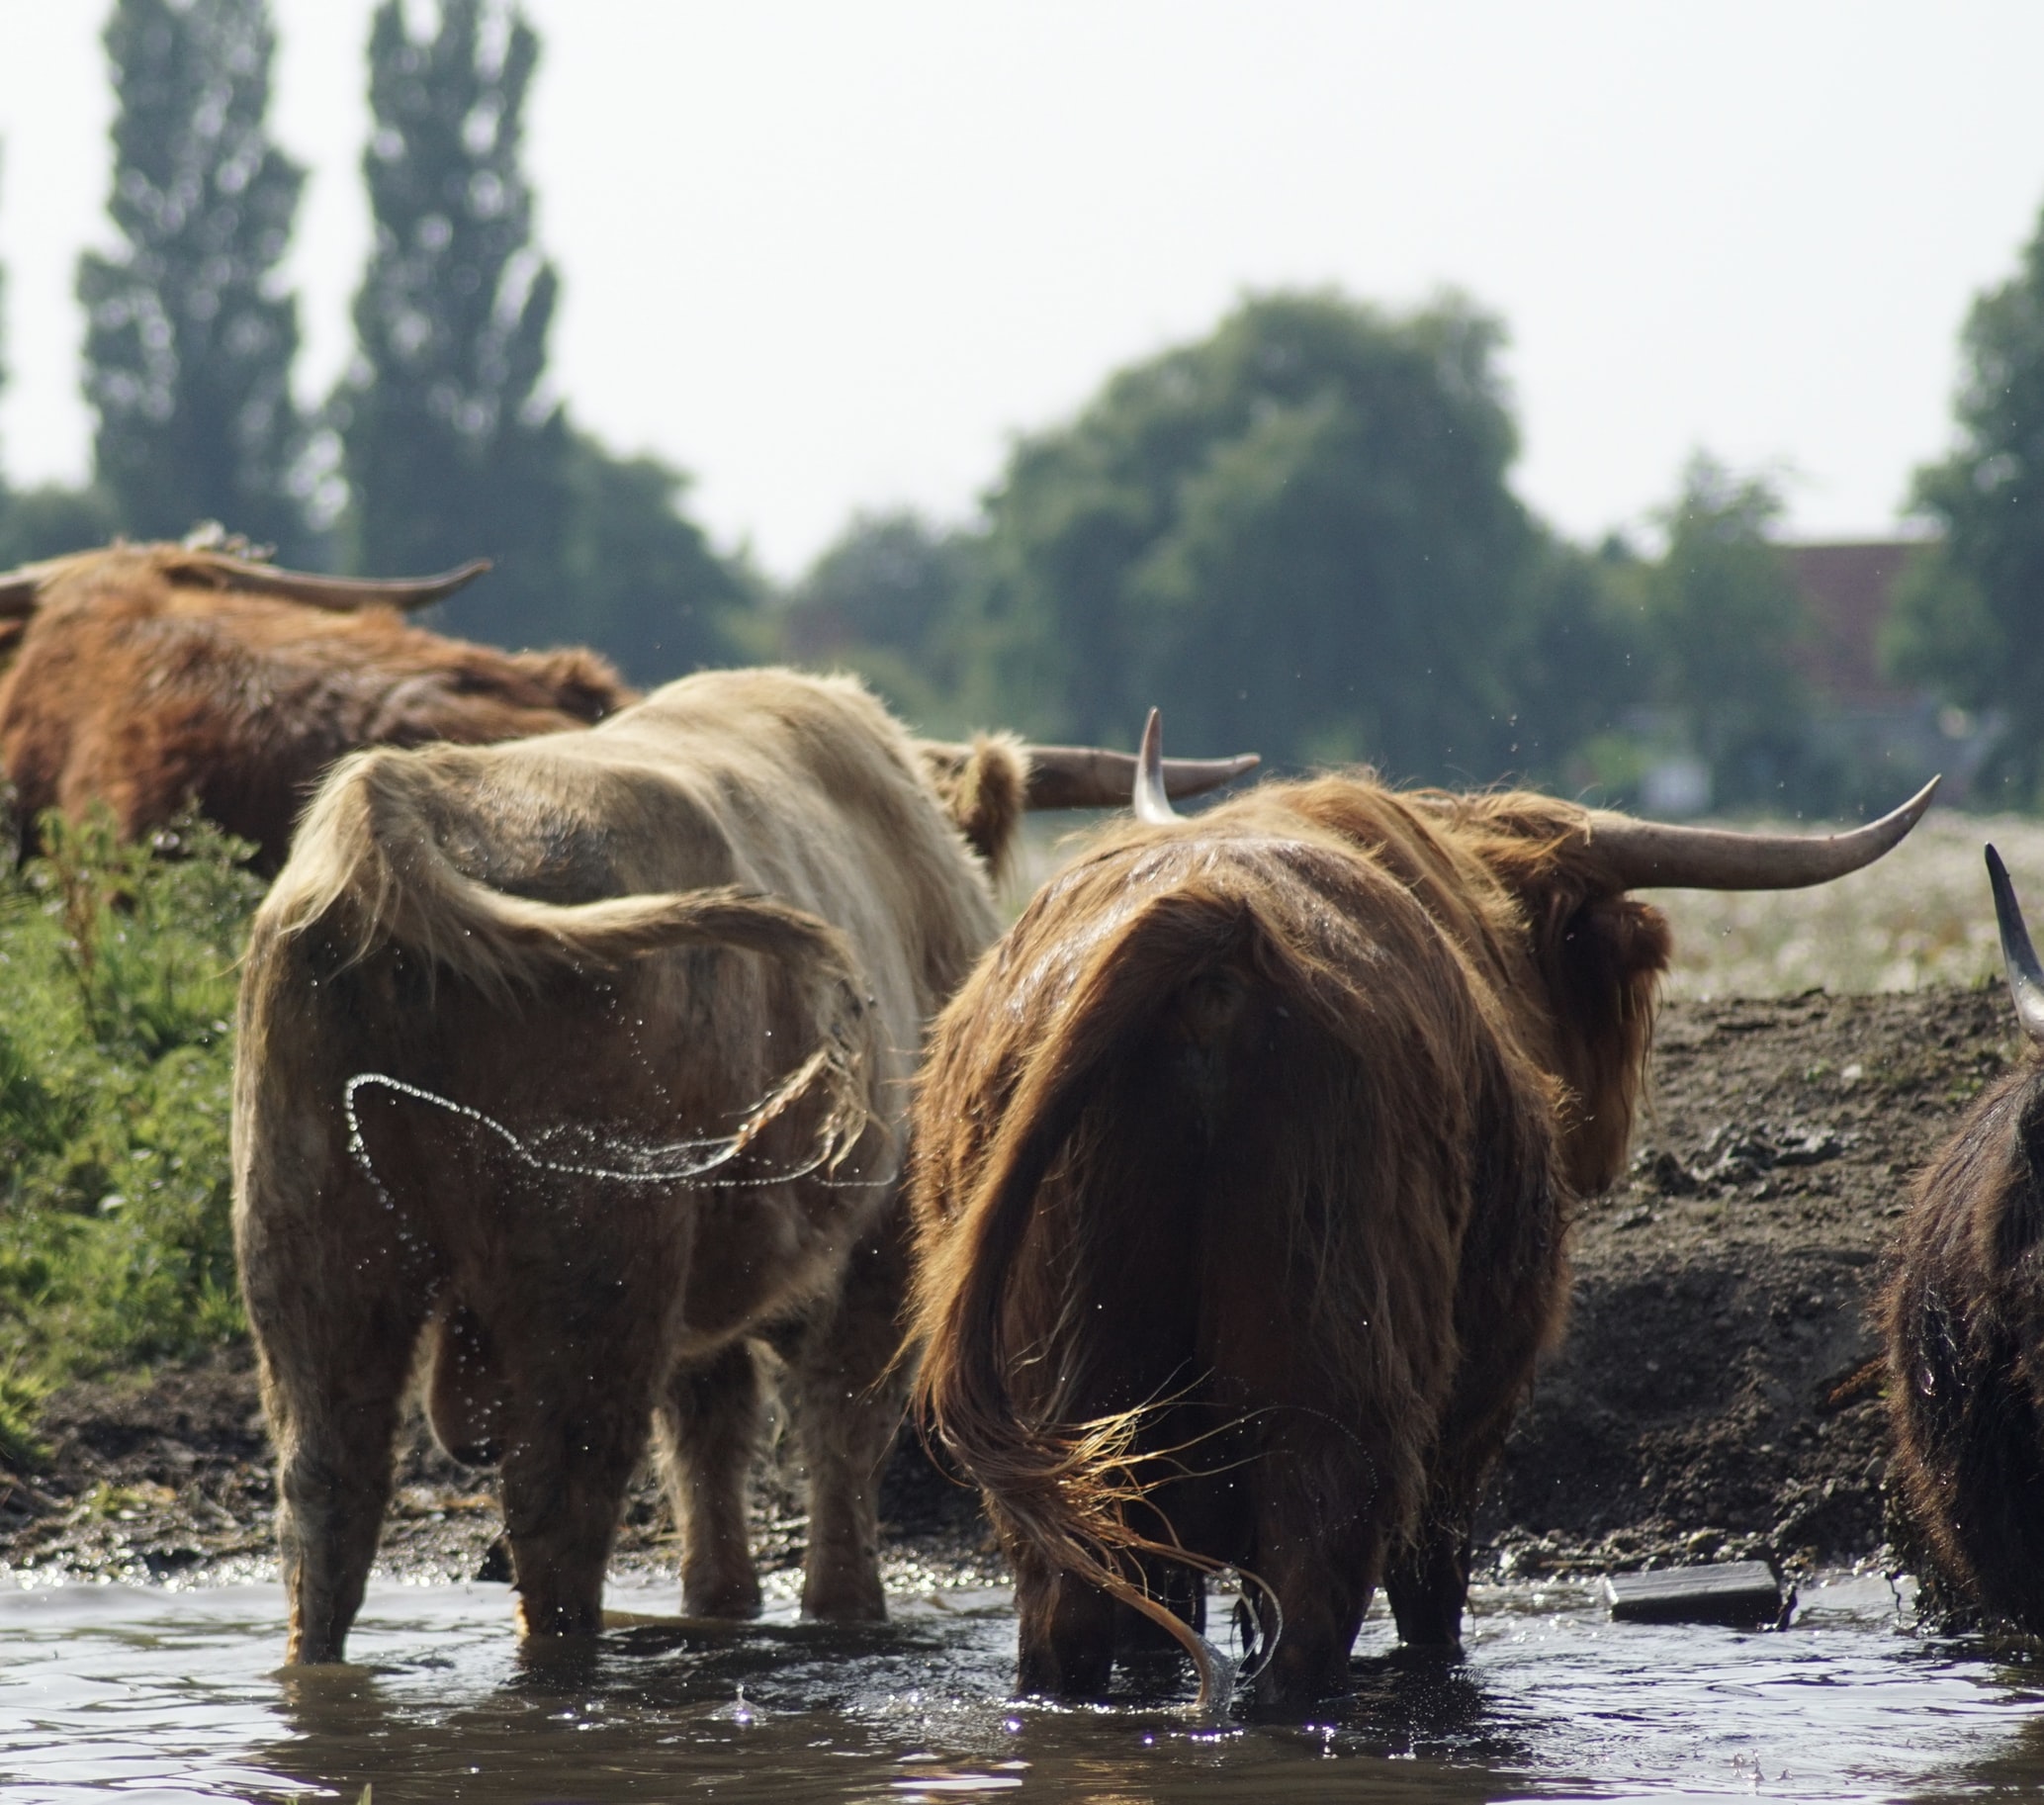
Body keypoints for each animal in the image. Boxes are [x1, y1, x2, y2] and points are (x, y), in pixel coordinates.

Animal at [234, 666, 1259, 1668]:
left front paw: (721, 1602)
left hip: (312, 1243)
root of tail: (400, 798)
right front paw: (844, 1611)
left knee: (328, 1491)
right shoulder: (882, 1248)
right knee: (558, 1496)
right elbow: (840, 1424)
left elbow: (710, 1433)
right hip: (595, 1260)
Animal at [907, 719, 1929, 1708]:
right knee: (1313, 1603)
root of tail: (1212, 924)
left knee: (1070, 1614)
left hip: (1068, 1399)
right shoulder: (1474, 1416)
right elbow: (1433, 1588)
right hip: (1344, 1381)